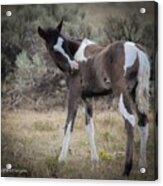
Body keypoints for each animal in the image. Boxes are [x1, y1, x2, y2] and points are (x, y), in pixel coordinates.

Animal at [38, 19, 150, 177]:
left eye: (64, 44)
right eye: (54, 49)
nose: (75, 67)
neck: (75, 52)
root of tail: (138, 51)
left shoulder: (74, 93)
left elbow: (68, 124)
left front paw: (61, 161)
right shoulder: (87, 98)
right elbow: (89, 127)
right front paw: (95, 162)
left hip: (121, 91)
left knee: (130, 119)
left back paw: (126, 169)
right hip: (137, 92)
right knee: (143, 121)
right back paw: (142, 166)